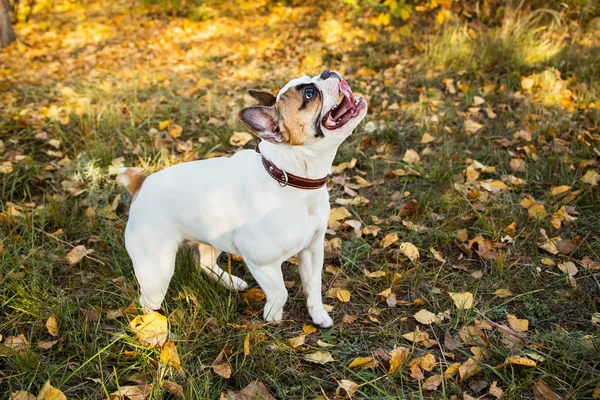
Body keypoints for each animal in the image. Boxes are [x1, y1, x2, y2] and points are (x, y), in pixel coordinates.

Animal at [118, 70, 366, 326]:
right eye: (309, 94)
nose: (328, 72)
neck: (290, 177)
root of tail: (141, 183)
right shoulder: (262, 263)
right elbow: (280, 292)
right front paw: (273, 315)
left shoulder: (312, 251)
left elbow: (313, 286)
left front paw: (318, 314)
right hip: (157, 270)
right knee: (147, 301)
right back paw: (152, 326)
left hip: (212, 237)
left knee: (205, 263)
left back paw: (231, 282)